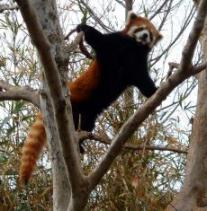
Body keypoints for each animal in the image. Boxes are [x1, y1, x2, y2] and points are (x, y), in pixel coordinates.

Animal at [19, 11, 162, 184]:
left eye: (151, 34)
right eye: (141, 28)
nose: (145, 35)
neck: (133, 48)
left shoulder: (137, 65)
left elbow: (143, 81)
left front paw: (155, 90)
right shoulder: (115, 44)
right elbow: (99, 39)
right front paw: (83, 27)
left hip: (88, 114)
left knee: (86, 125)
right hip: (74, 106)